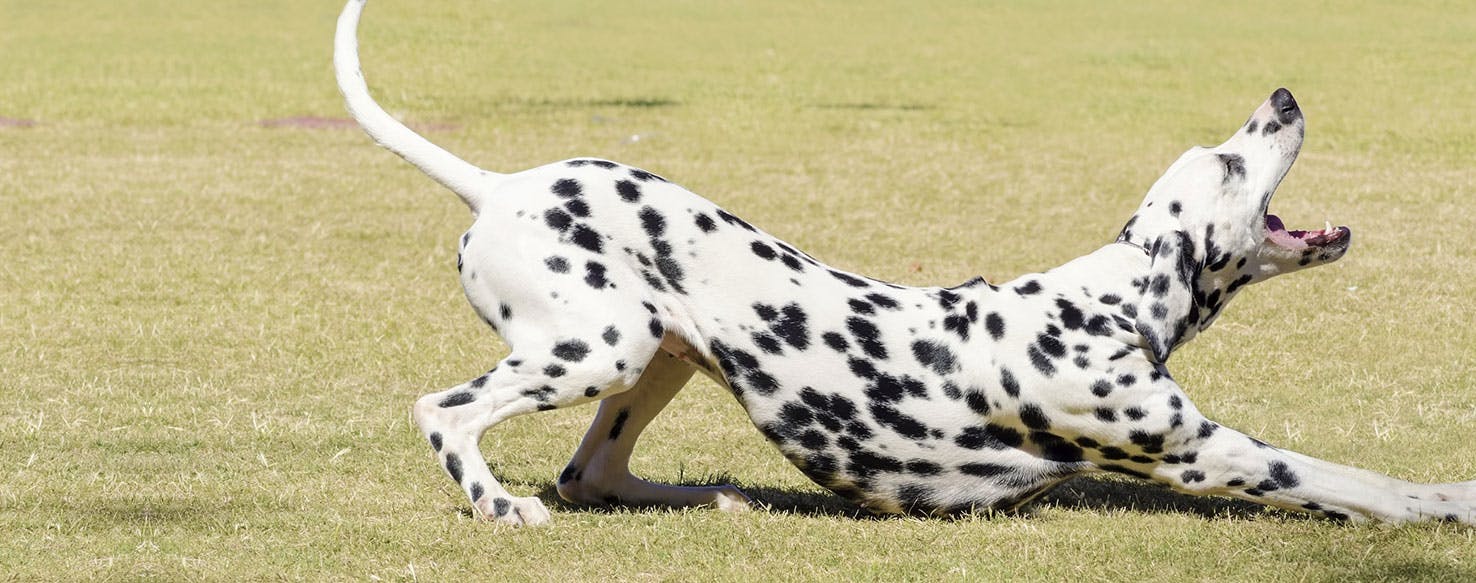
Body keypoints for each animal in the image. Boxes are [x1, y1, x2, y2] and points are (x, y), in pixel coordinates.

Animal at [335, 0, 1476, 528]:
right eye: (1234, 158)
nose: (1281, 96)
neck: (1104, 304)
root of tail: (496, 184)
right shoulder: (1212, 455)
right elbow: (1363, 482)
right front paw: (1452, 504)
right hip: (598, 347)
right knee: (448, 414)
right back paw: (499, 505)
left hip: (655, 354)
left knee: (593, 473)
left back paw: (714, 497)